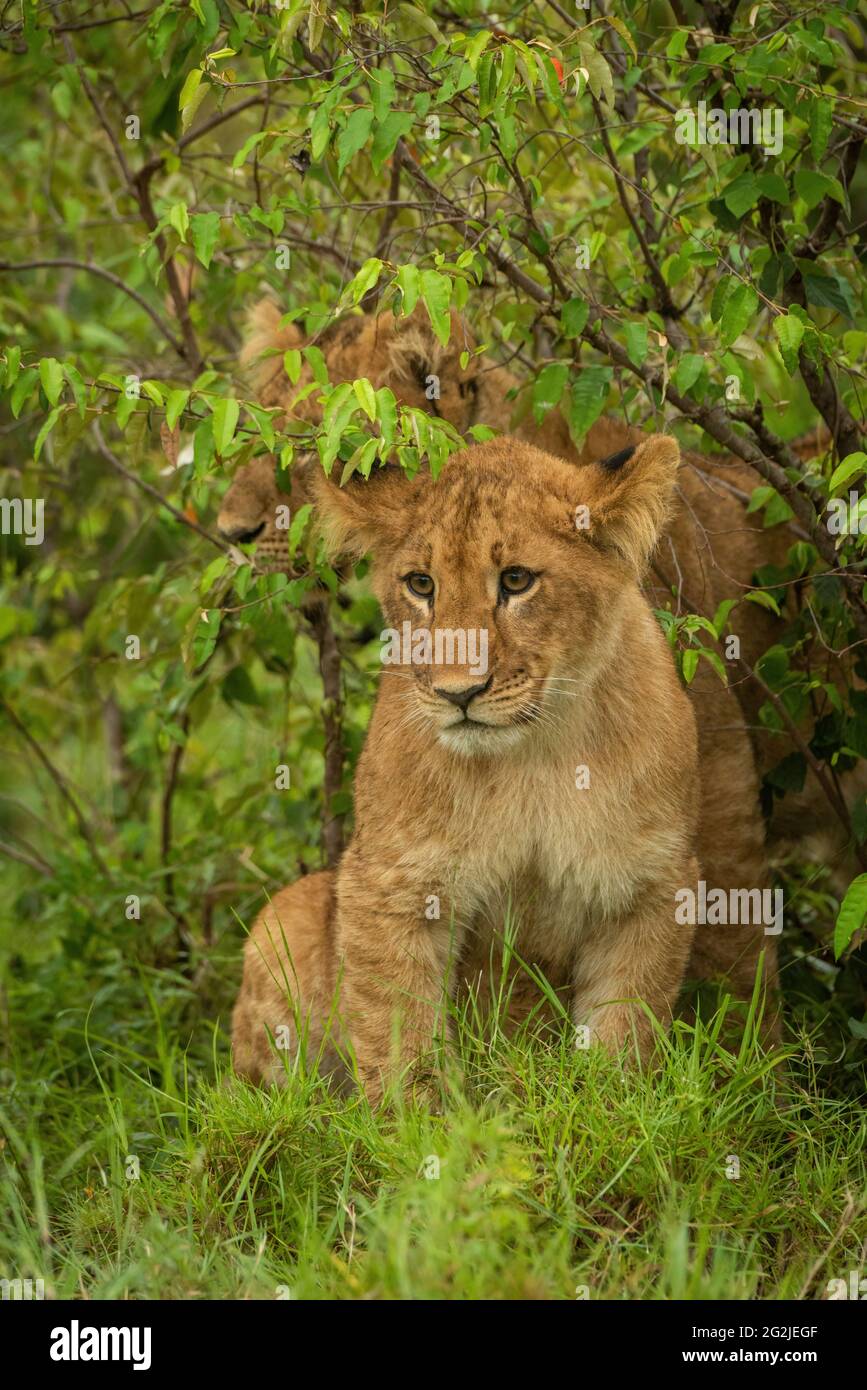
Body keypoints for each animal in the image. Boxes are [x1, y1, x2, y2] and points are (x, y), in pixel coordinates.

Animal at [231, 435, 782, 1099]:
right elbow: (399, 1039)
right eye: (421, 584)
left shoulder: (649, 884)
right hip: (282, 919)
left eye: (516, 580)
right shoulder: (388, 885)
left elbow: (622, 1034)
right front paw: (419, 1123)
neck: (530, 756)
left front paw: (606, 1107)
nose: (458, 693)